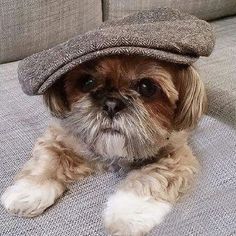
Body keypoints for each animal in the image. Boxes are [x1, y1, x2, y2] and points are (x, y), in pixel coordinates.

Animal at [0, 54, 206, 235]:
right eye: (87, 82)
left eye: (147, 87)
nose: (112, 104)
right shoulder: (61, 136)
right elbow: (47, 159)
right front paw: (28, 190)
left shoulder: (176, 154)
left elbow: (151, 177)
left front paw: (128, 212)